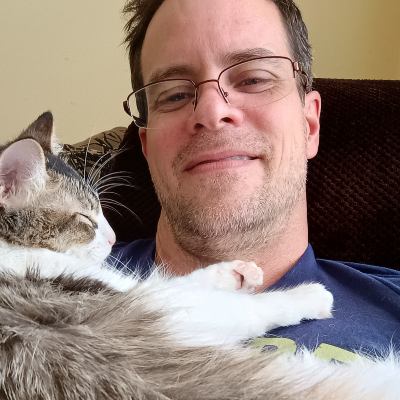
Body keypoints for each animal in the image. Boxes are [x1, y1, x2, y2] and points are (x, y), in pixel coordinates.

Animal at [0, 112, 398, 400]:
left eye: (102, 211)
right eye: (85, 219)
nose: (113, 239)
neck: (12, 251)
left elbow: (173, 279)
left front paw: (235, 273)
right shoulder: (138, 309)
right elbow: (244, 307)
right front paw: (308, 295)